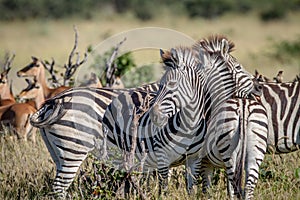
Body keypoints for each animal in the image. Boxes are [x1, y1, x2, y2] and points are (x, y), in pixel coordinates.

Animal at [104, 35, 256, 193]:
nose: (256, 87)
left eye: (172, 85)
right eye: (238, 67)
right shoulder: (165, 158)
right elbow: (165, 189)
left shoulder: (195, 160)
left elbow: (193, 189)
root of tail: (122, 93)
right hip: (115, 151)